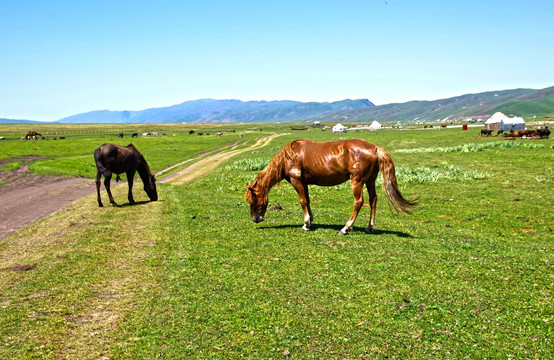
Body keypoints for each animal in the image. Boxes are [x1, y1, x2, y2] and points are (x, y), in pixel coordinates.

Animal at [244, 139, 416, 235]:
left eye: (254, 200)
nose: (255, 219)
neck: (289, 157)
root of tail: (375, 148)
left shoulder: (297, 181)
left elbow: (303, 202)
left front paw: (306, 224)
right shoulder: (304, 183)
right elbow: (307, 201)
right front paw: (311, 221)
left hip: (357, 180)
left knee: (359, 202)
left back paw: (346, 228)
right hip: (370, 180)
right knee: (373, 199)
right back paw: (370, 228)